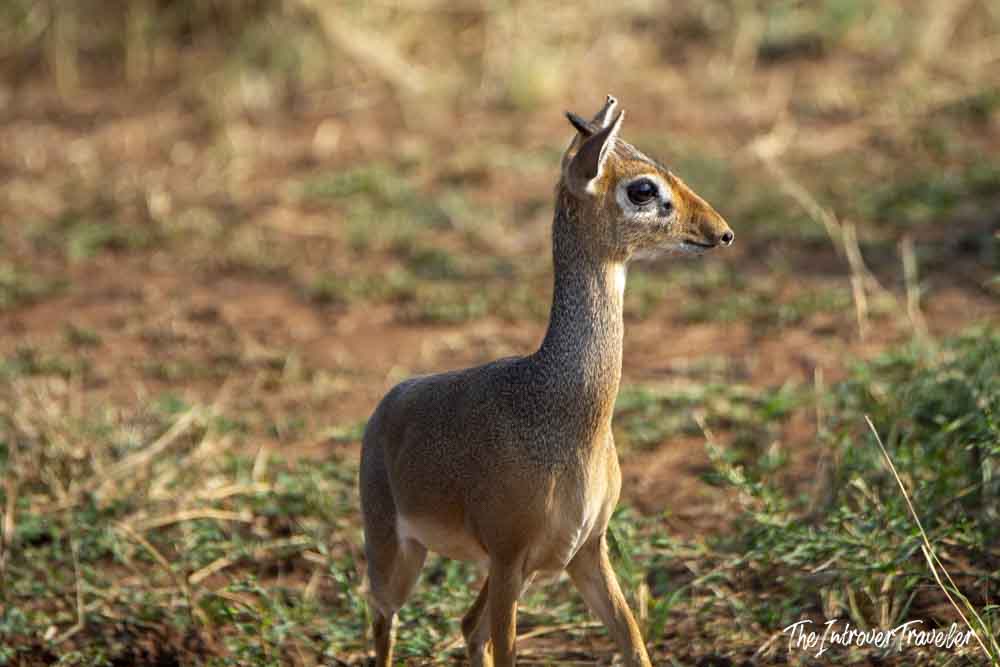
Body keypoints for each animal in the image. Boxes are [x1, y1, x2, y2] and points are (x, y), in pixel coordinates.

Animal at [360, 96, 733, 666]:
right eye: (643, 188)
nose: (721, 231)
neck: (565, 416)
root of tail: (385, 404)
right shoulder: (509, 554)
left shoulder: (584, 551)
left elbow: (634, 642)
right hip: (399, 553)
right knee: (384, 617)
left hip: (525, 570)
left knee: (466, 625)